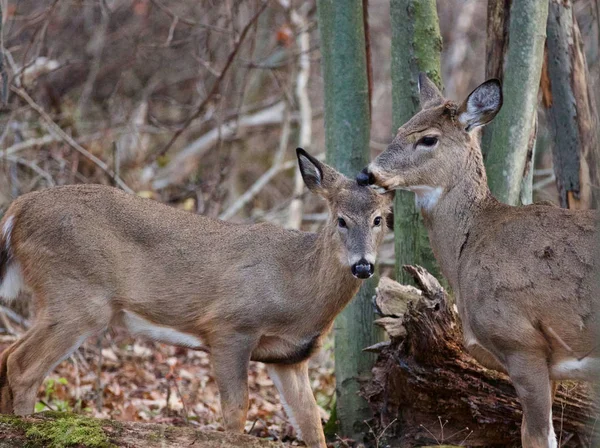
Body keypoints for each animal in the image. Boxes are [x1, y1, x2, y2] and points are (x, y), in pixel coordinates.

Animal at [0, 150, 394, 448]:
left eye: (379, 219)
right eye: (341, 220)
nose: (362, 265)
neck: (296, 287)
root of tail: (17, 210)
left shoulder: (290, 357)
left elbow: (311, 422)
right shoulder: (230, 327)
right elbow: (236, 411)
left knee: (8, 356)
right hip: (77, 296)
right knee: (21, 366)